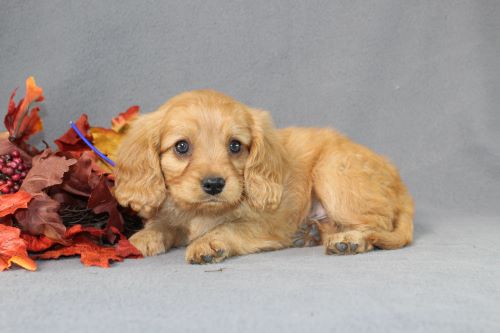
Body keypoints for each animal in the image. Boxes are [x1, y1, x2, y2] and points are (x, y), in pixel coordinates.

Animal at [114, 89, 414, 264]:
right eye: (181, 147)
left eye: (235, 146)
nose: (214, 184)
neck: (199, 212)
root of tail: (399, 183)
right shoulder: (172, 215)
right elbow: (163, 224)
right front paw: (143, 237)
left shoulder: (265, 224)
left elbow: (230, 227)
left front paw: (209, 241)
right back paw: (311, 233)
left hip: (333, 172)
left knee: (377, 225)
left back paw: (351, 240)